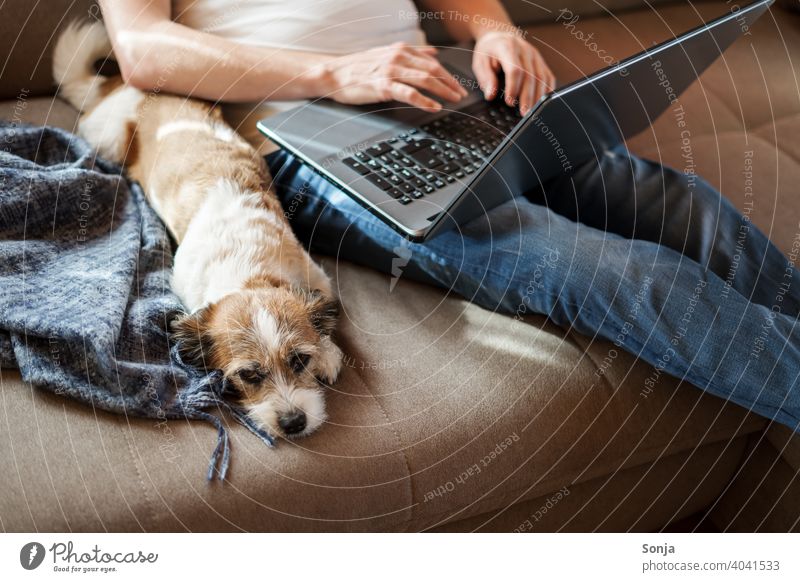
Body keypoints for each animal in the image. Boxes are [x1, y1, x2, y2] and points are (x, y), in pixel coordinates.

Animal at [54, 21, 342, 442]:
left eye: (299, 360)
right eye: (249, 375)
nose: (294, 422)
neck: (248, 270)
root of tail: (114, 86)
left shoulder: (315, 276)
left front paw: (329, 351)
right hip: (110, 140)